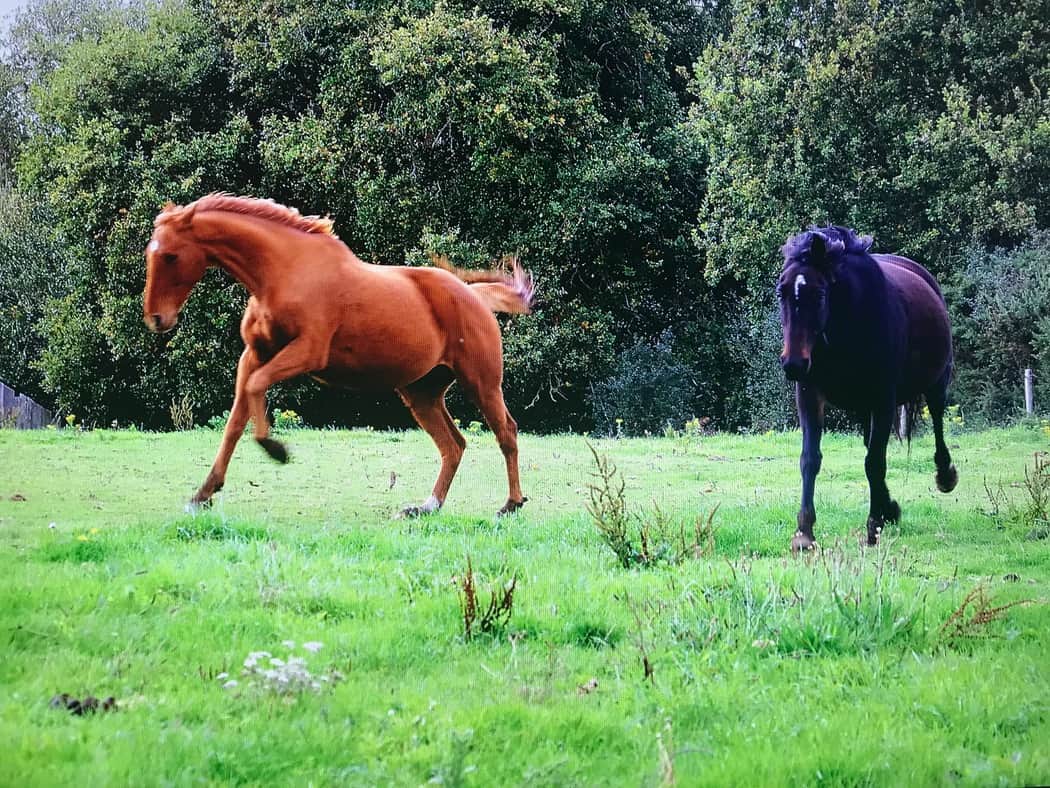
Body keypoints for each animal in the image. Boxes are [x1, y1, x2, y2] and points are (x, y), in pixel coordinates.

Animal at [143, 193, 534, 517]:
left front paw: (275, 448)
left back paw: (511, 504)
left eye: (170, 255)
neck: (284, 271)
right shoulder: (254, 355)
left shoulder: (306, 352)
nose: (157, 319)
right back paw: (425, 507)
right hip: (421, 392)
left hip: (481, 382)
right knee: (454, 444)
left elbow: (255, 390)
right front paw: (202, 495)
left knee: (506, 432)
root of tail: (475, 296)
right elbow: (235, 422)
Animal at [777, 226, 958, 551]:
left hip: (936, 382)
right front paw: (804, 533)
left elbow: (874, 463)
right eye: (780, 292)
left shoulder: (883, 399)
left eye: (819, 294)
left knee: (937, 419)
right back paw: (890, 508)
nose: (794, 363)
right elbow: (810, 459)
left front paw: (873, 527)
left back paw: (944, 476)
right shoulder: (809, 395)